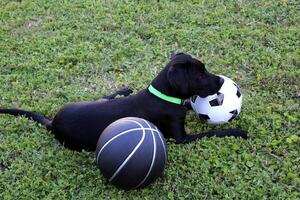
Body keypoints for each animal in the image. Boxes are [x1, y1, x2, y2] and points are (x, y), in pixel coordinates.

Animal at [1, 52, 247, 151]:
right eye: (200, 74)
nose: (221, 81)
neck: (163, 95)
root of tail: (52, 122)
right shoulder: (180, 139)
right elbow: (212, 133)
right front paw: (238, 132)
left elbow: (187, 105)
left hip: (92, 101)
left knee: (105, 96)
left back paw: (124, 90)